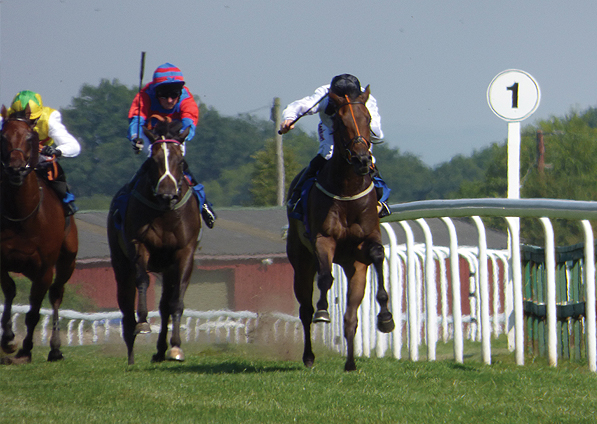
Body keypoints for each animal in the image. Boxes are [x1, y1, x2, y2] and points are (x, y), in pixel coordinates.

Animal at [0, 105, 78, 364]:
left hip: (67, 261)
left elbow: (34, 311)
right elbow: (10, 291)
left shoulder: (45, 268)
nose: (15, 169)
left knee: (55, 295)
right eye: (3, 137)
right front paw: (8, 339)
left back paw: (55, 348)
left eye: (30, 138)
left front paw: (25, 349)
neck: (23, 216)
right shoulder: (2, 261)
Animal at [107, 116, 200, 364]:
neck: (165, 213)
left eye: (181, 160)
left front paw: (176, 347)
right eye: (153, 160)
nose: (167, 194)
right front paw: (143, 323)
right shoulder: (140, 245)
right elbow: (143, 281)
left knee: (165, 304)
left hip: (167, 267)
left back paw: (161, 350)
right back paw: (131, 354)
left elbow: (175, 300)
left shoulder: (184, 253)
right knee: (126, 305)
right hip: (120, 262)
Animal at [286, 86, 394, 372]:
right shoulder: (324, 239)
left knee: (350, 316)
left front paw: (386, 317)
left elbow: (378, 254)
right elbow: (325, 278)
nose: (362, 159)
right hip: (300, 261)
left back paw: (351, 363)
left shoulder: (367, 241)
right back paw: (309, 356)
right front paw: (324, 311)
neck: (347, 190)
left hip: (354, 267)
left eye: (368, 119)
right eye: (341, 121)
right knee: (305, 310)